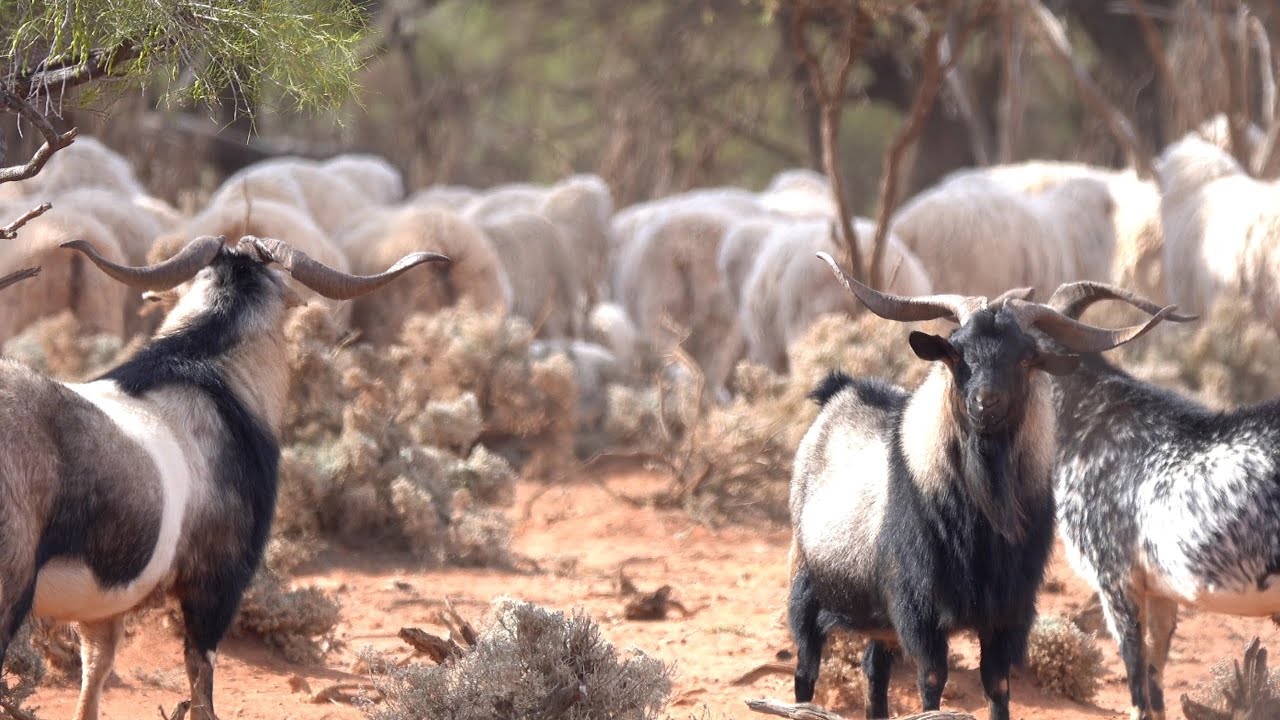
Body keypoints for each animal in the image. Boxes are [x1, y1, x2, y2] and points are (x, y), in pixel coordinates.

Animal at [789, 253, 1178, 720]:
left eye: (1026, 357)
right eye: (956, 350)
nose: (985, 402)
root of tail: (837, 391)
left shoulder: (1008, 613)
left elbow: (998, 685)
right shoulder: (919, 609)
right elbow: (932, 682)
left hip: (878, 622)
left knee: (874, 671)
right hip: (808, 588)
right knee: (805, 670)